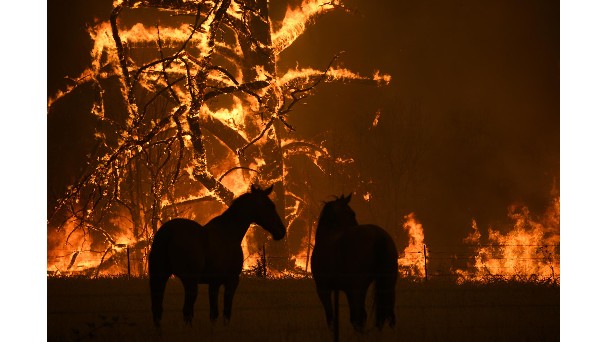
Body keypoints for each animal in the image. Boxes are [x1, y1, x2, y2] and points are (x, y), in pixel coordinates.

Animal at [150, 186, 288, 328]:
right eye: (269, 205)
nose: (281, 231)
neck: (229, 233)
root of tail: (168, 233)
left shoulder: (214, 283)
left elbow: (213, 314)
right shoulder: (230, 281)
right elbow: (225, 313)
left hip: (160, 277)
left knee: (158, 310)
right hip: (190, 281)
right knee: (186, 311)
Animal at [314, 194, 400, 332]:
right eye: (352, 213)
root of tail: (377, 234)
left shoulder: (323, 289)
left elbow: (331, 317)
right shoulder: (347, 290)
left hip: (358, 287)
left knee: (360, 315)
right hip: (388, 284)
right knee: (388, 313)